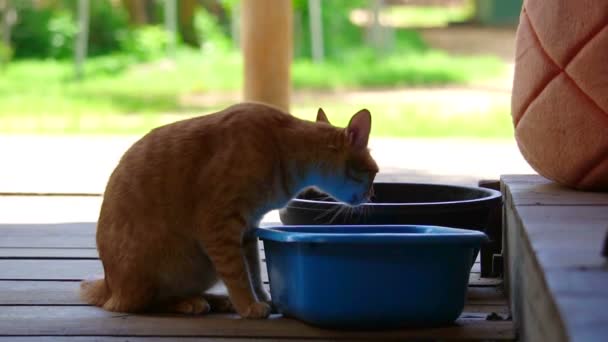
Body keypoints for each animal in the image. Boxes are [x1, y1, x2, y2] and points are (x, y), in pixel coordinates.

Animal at [79, 101, 376, 318]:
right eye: (374, 173)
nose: (371, 196)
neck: (282, 146)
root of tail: (109, 285)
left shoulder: (248, 229)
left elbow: (253, 271)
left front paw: (261, 298)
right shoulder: (218, 227)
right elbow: (238, 274)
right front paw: (249, 306)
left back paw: (214, 299)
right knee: (141, 303)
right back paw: (191, 303)